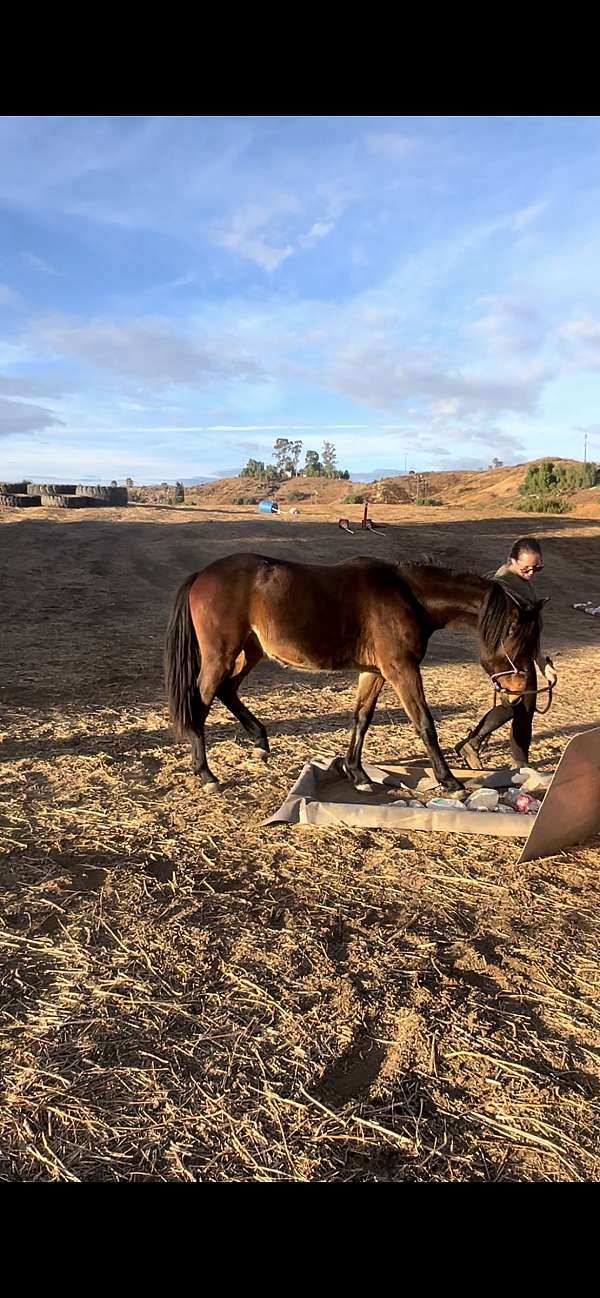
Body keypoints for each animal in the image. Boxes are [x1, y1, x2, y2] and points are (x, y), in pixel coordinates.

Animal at [164, 550, 542, 789]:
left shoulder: (374, 672)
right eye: (519, 638)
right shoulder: (401, 669)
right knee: (199, 704)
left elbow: (361, 718)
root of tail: (202, 576)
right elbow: (424, 723)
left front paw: (357, 773)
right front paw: (448, 780)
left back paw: (259, 741)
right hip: (221, 656)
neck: (408, 595)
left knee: (228, 690)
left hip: (250, 651)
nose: (521, 690)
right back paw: (206, 774)